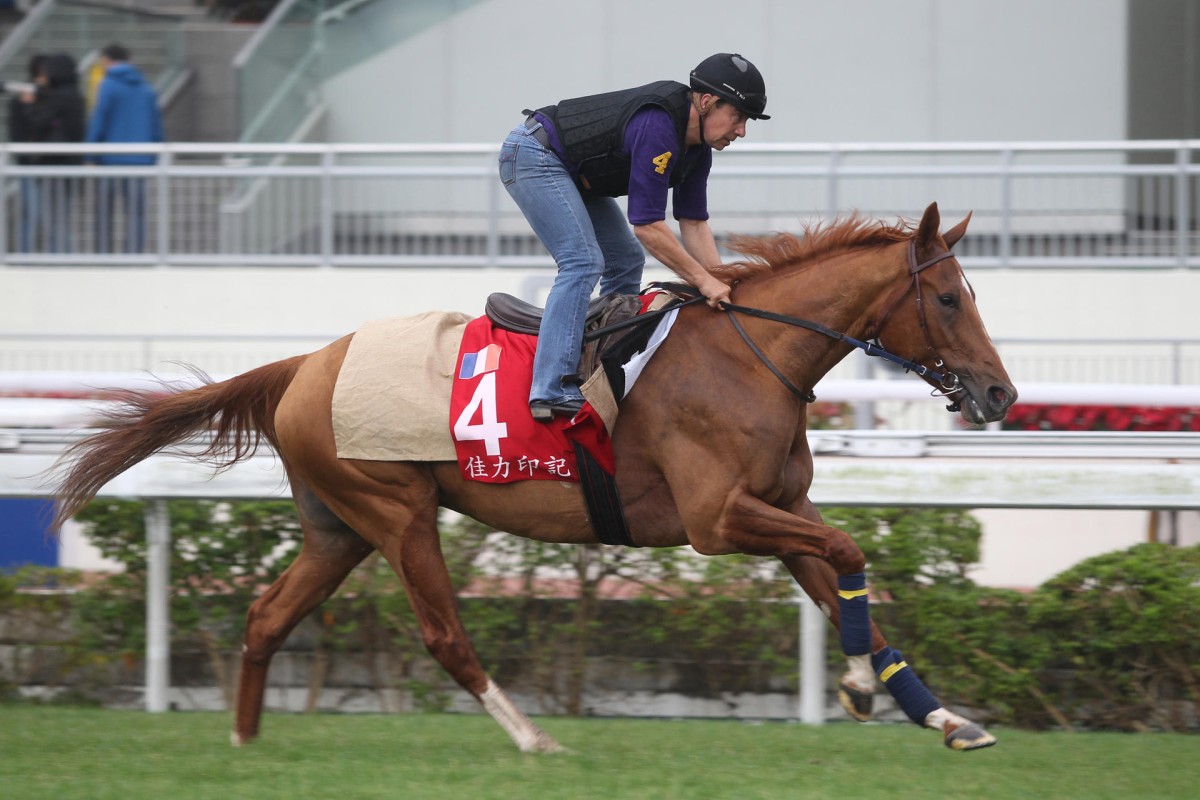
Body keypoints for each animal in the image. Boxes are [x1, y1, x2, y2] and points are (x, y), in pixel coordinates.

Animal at [54, 203, 1012, 753]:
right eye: (951, 298)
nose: (999, 392)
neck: (753, 354)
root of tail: (306, 365)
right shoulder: (718, 519)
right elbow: (849, 551)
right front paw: (858, 691)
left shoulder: (779, 507)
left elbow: (851, 593)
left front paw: (942, 717)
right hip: (395, 511)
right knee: (444, 636)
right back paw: (531, 738)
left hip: (337, 527)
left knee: (265, 617)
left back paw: (246, 745)